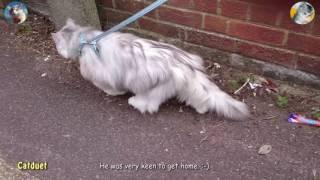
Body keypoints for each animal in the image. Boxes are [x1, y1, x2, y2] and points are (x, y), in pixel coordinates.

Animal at [51, 18, 250, 119]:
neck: (84, 40)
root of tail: (183, 61)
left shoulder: (103, 74)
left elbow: (108, 86)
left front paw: (112, 92)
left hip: (153, 88)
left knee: (149, 103)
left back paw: (134, 102)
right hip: (187, 86)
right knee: (201, 98)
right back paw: (202, 109)